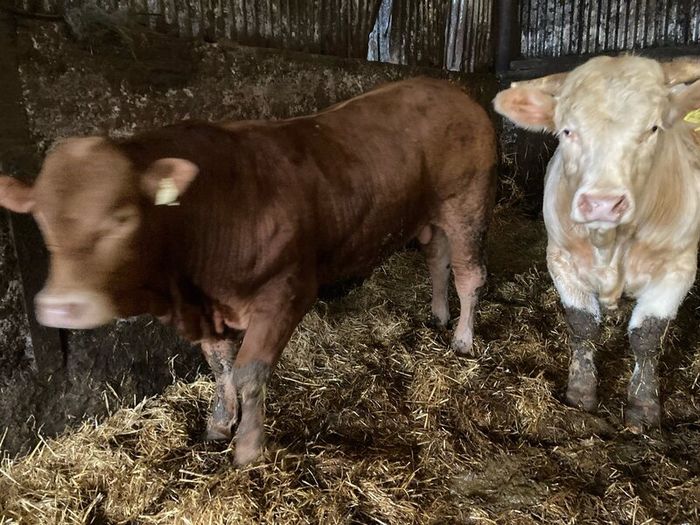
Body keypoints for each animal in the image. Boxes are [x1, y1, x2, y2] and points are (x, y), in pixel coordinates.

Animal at [0, 77, 496, 464]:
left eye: (122, 216)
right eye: (40, 219)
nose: (60, 307)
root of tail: (452, 91)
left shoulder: (286, 291)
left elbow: (249, 372)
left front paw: (249, 448)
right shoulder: (209, 309)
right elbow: (220, 367)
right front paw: (219, 425)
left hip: (468, 201)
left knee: (470, 274)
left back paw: (462, 340)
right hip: (430, 213)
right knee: (438, 260)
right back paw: (438, 315)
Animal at [494, 55, 700, 432]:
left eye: (653, 128)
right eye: (567, 131)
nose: (603, 203)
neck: (611, 243)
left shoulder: (678, 268)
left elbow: (648, 335)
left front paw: (643, 406)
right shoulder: (560, 258)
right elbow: (583, 325)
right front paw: (580, 393)